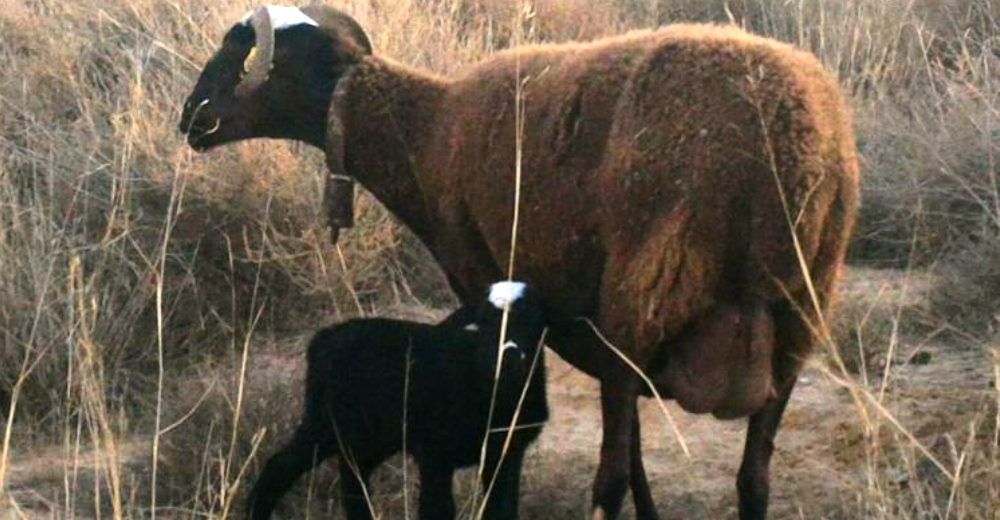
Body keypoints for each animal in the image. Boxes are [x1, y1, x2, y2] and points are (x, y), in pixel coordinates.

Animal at [180, 6, 860, 516]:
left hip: (644, 296)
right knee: (753, 478)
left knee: (610, 481)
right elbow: (640, 453)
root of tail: (786, 153)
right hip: (797, 317)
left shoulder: (486, 281)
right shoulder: (591, 331)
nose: (191, 119)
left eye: (249, 60)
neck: (425, 133)